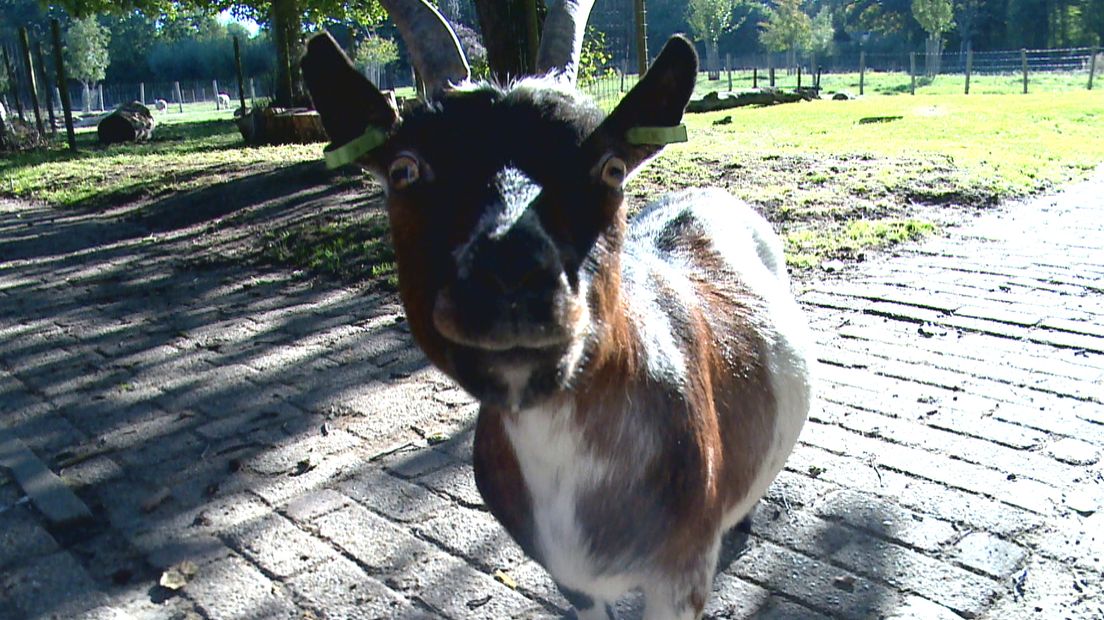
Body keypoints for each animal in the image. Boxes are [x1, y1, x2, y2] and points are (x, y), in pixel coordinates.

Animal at [302, 2, 812, 613]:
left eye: (611, 168)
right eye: (405, 169)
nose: (512, 269)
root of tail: (707, 193)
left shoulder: (681, 573)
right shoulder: (568, 579)